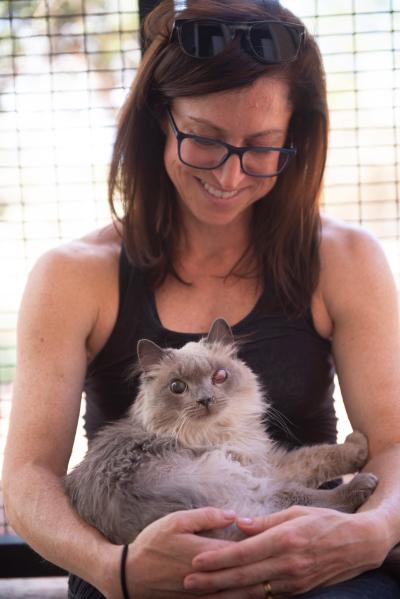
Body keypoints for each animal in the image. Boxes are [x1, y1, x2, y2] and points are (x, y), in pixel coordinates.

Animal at [65, 322, 378, 548]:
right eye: (177, 387)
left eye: (220, 377)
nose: (205, 399)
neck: (222, 430)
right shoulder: (255, 467)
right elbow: (316, 463)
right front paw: (359, 445)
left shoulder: (265, 461)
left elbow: (317, 458)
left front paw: (359, 445)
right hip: (248, 484)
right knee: (304, 502)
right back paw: (365, 483)